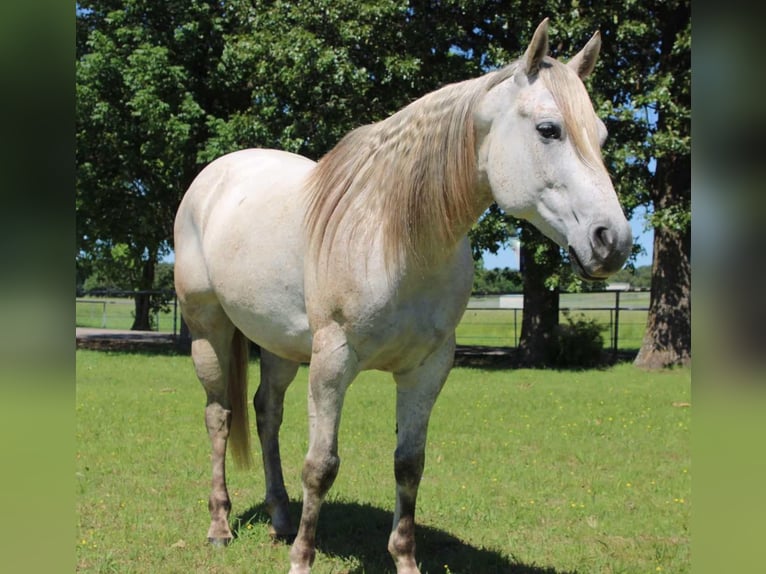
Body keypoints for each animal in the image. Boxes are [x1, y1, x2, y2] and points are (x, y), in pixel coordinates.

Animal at [173, 19, 632, 574]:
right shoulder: (333, 362)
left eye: (602, 136)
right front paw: (303, 560)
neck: (398, 238)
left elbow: (409, 465)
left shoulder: (428, 368)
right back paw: (220, 527)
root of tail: (215, 175)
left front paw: (405, 558)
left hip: (280, 344)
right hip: (209, 330)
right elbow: (321, 465)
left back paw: (280, 518)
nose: (613, 241)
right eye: (549, 129)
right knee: (220, 416)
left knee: (266, 413)